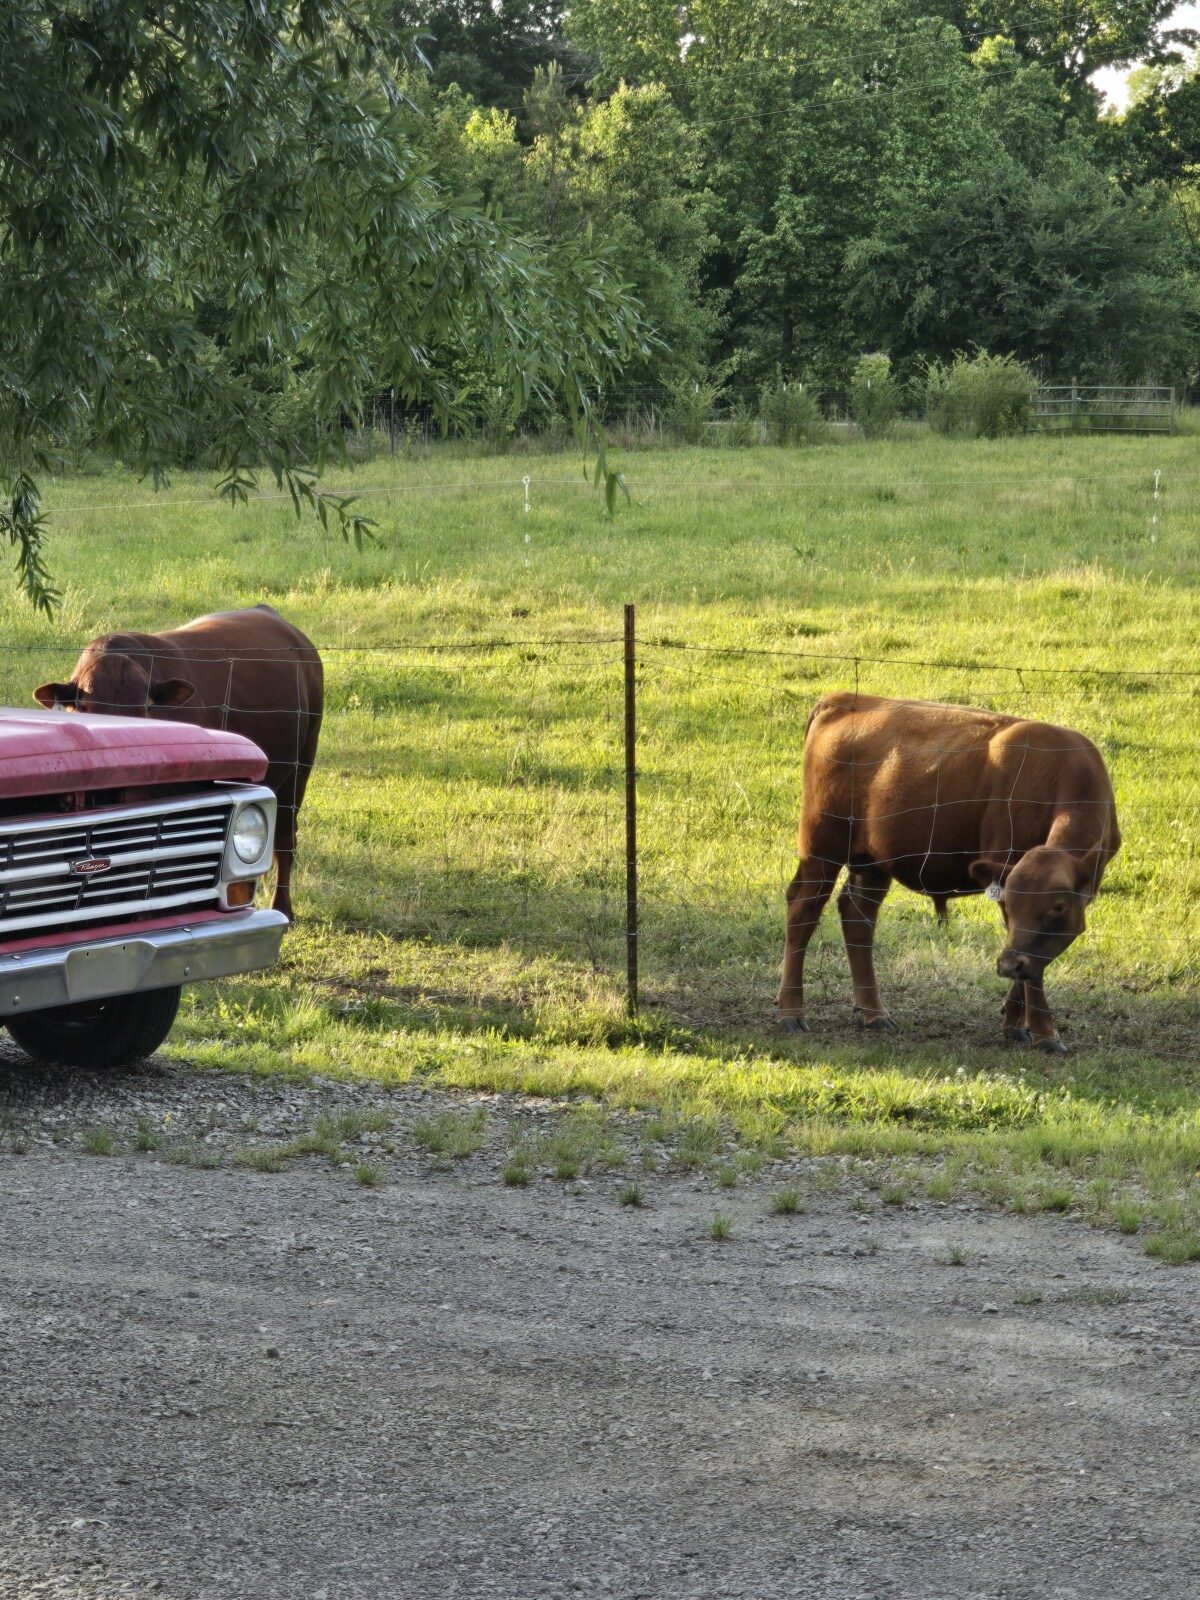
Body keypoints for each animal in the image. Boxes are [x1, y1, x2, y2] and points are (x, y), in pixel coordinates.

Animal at [777, 693, 1120, 1053]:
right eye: (1012, 905)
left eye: (1058, 907)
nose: (1006, 965)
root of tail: (844, 699)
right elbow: (1032, 969)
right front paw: (1045, 1034)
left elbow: (1031, 958)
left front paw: (1015, 1021)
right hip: (822, 848)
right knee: (803, 911)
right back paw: (791, 1012)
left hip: (872, 862)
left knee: (858, 916)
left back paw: (874, 1013)